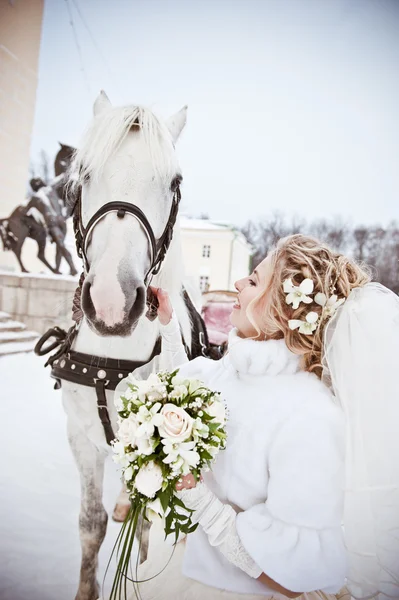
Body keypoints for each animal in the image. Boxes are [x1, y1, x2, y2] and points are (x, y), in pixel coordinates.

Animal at [61, 90, 193, 600]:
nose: (111, 302)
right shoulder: (81, 437)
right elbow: (90, 524)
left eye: (174, 181)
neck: (109, 360)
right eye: (85, 172)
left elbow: (146, 526)